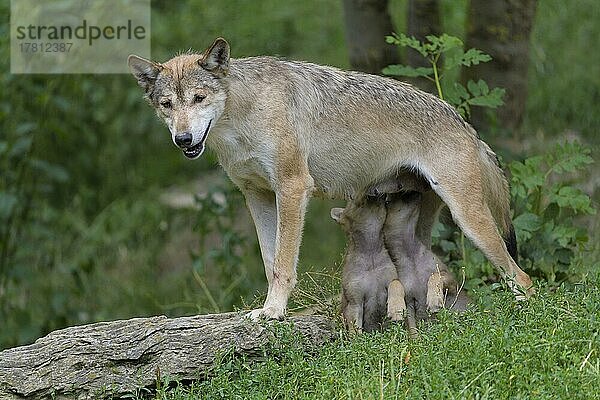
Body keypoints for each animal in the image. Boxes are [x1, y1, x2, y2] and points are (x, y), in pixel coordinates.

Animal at [129, 37, 532, 318]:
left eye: (199, 98)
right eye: (167, 105)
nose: (183, 139)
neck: (240, 120)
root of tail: (464, 122)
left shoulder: (292, 187)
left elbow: (283, 263)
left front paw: (274, 312)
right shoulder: (257, 196)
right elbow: (269, 261)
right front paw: (271, 309)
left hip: (469, 219)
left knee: (522, 278)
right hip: (415, 228)